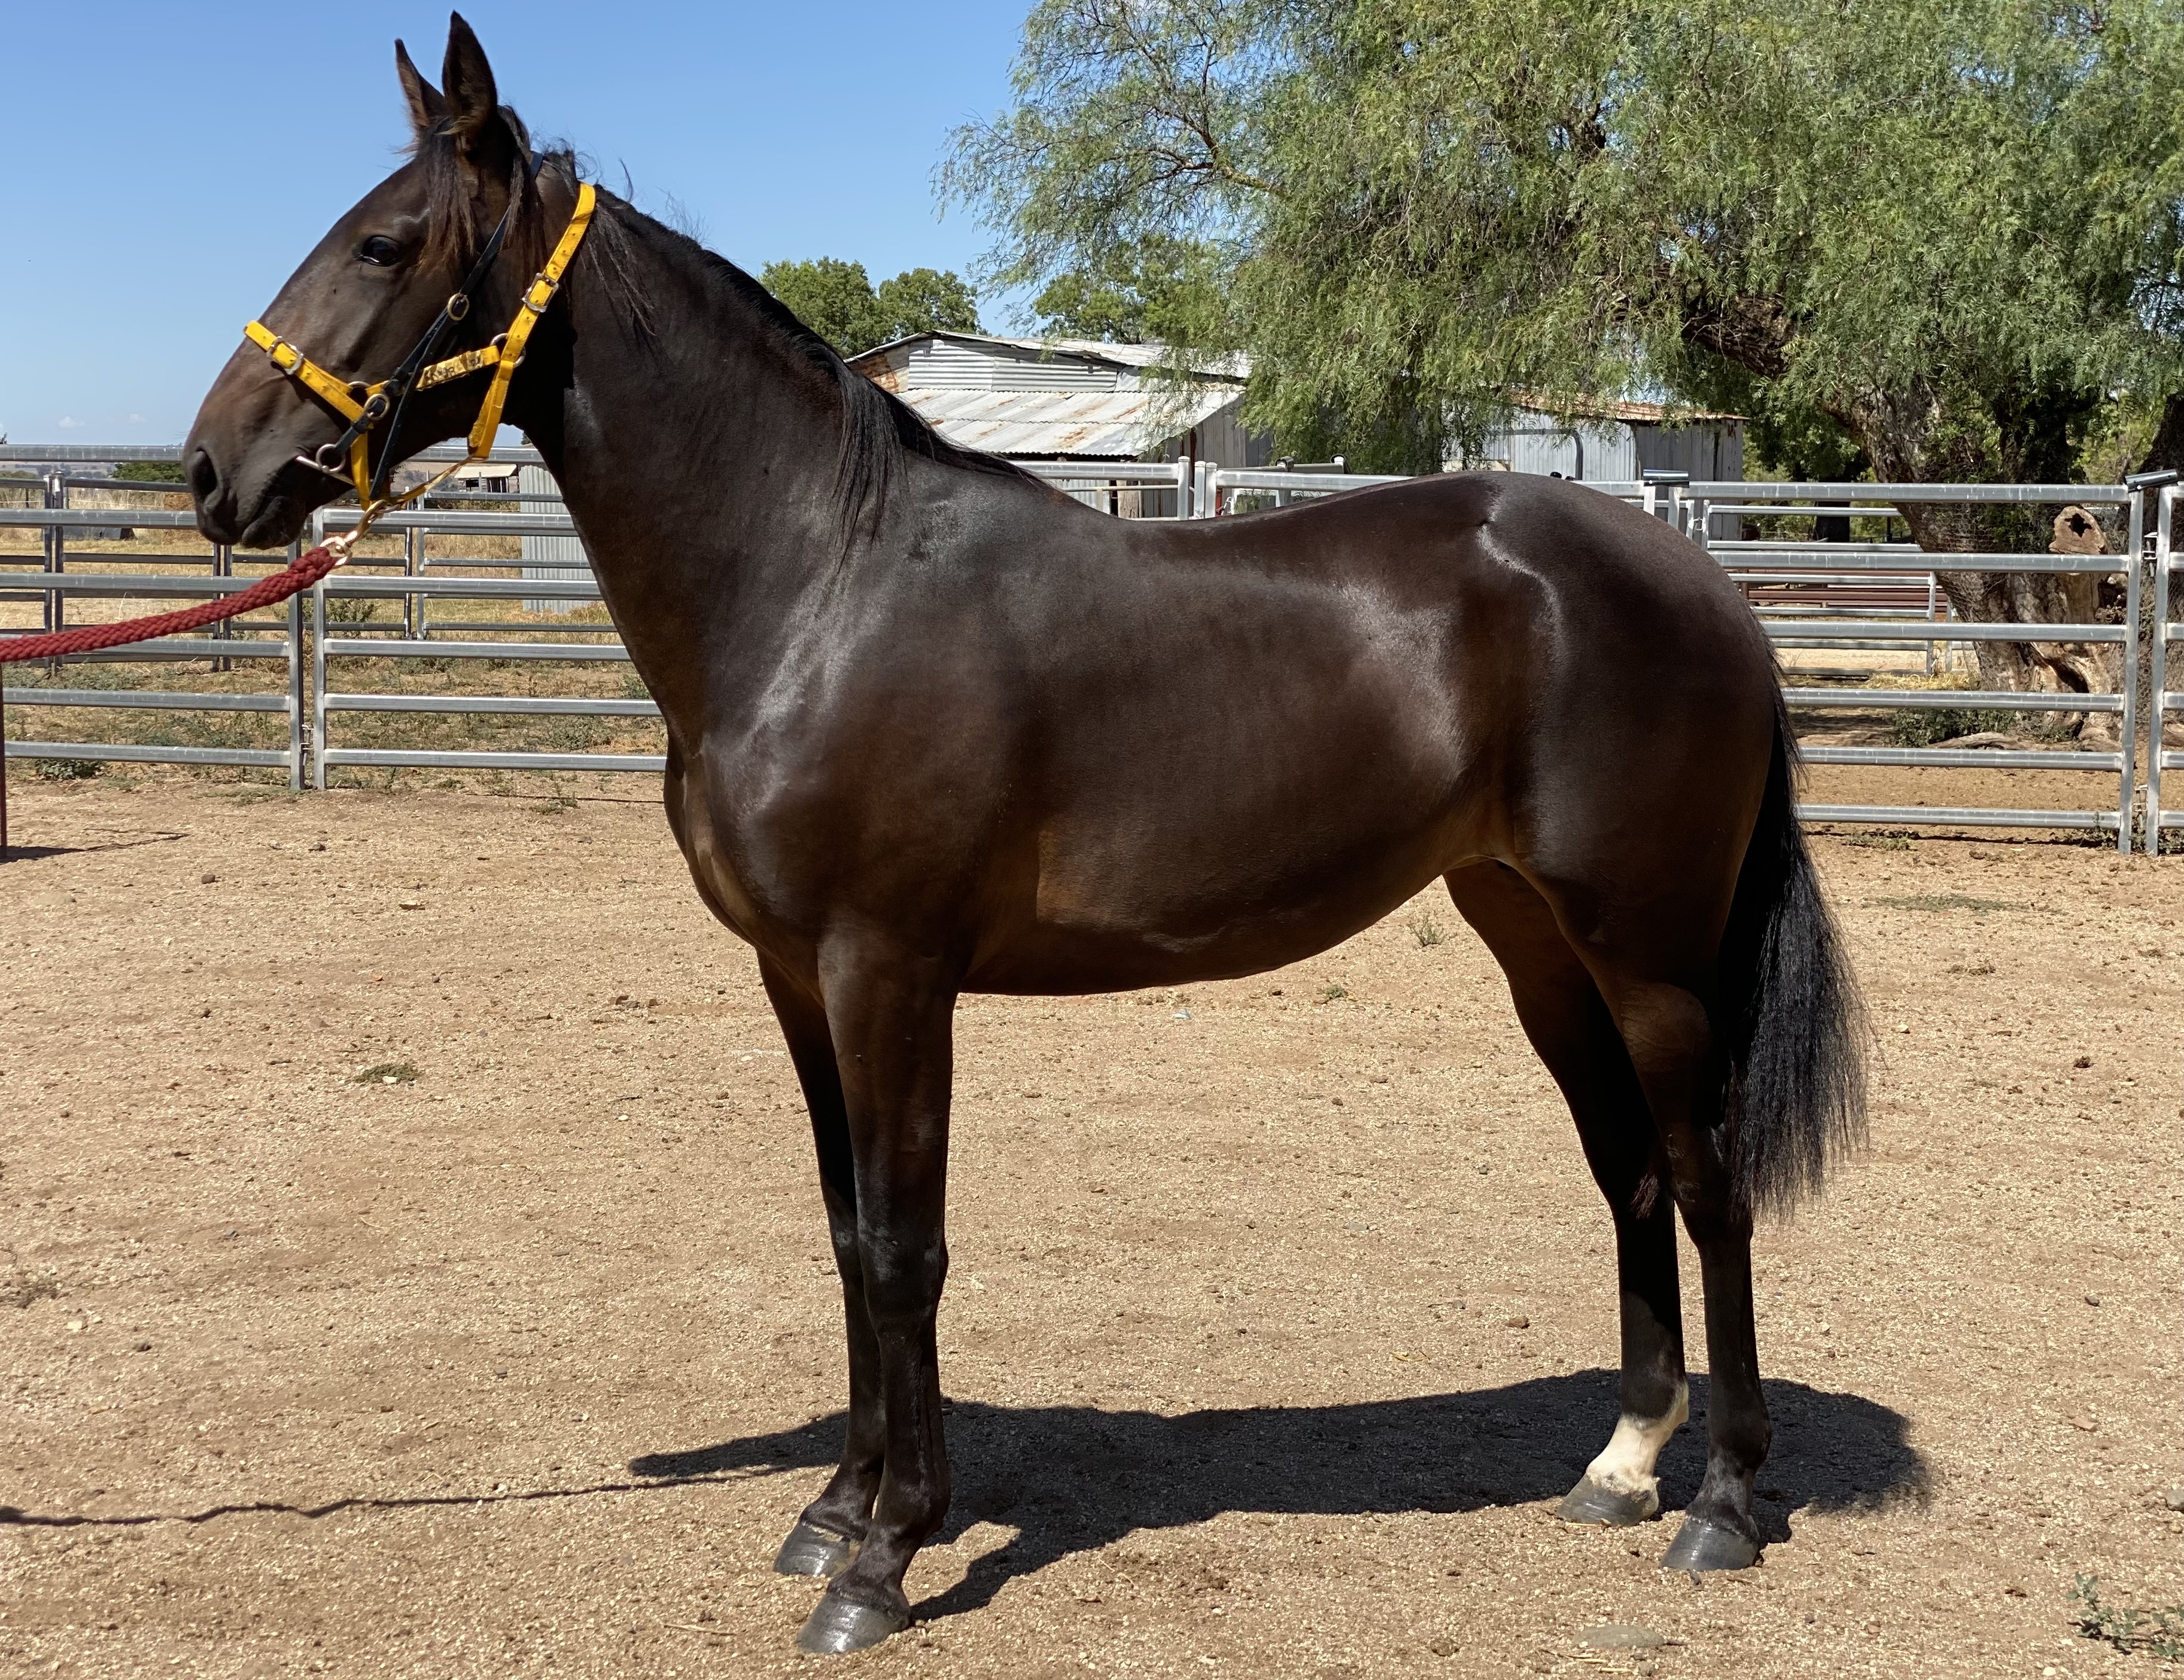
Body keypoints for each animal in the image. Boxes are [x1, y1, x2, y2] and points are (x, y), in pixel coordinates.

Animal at [183, 16, 1866, 1656]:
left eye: (385, 244)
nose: (214, 473)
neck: (816, 583)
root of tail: (1702, 585)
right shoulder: (798, 982)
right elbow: (846, 1231)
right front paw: (833, 1514)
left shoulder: (888, 974)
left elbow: (905, 1247)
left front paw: (886, 1557)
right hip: (1532, 938)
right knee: (1628, 1173)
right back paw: (1619, 1468)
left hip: (1647, 953)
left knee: (1706, 1178)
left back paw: (1723, 1504)